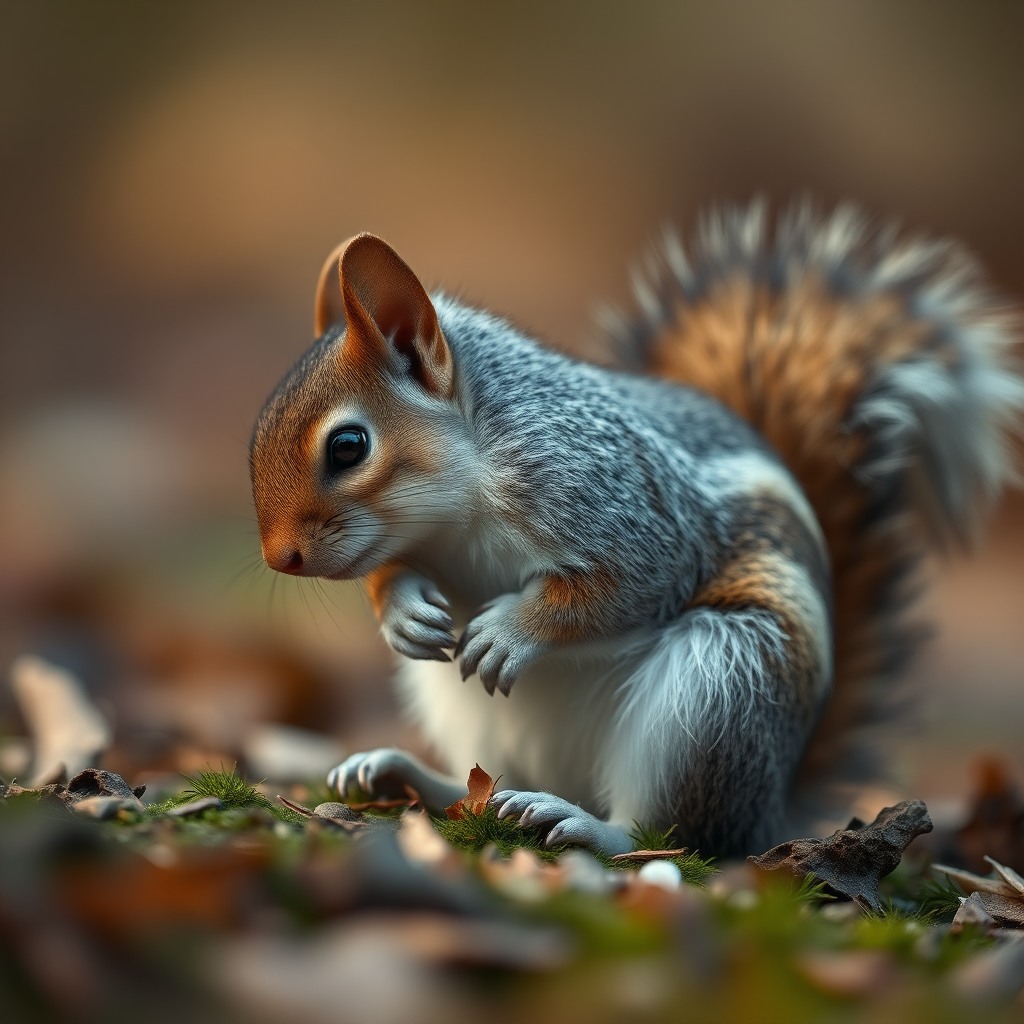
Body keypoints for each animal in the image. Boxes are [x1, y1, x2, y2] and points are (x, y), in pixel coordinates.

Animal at [249, 201, 1023, 858]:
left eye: (348, 446)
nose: (281, 557)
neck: (456, 508)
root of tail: (771, 809)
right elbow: (394, 571)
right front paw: (403, 610)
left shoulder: (618, 498)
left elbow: (630, 584)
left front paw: (513, 630)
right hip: (465, 706)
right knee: (481, 785)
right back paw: (403, 774)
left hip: (719, 689)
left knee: (671, 830)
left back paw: (582, 824)